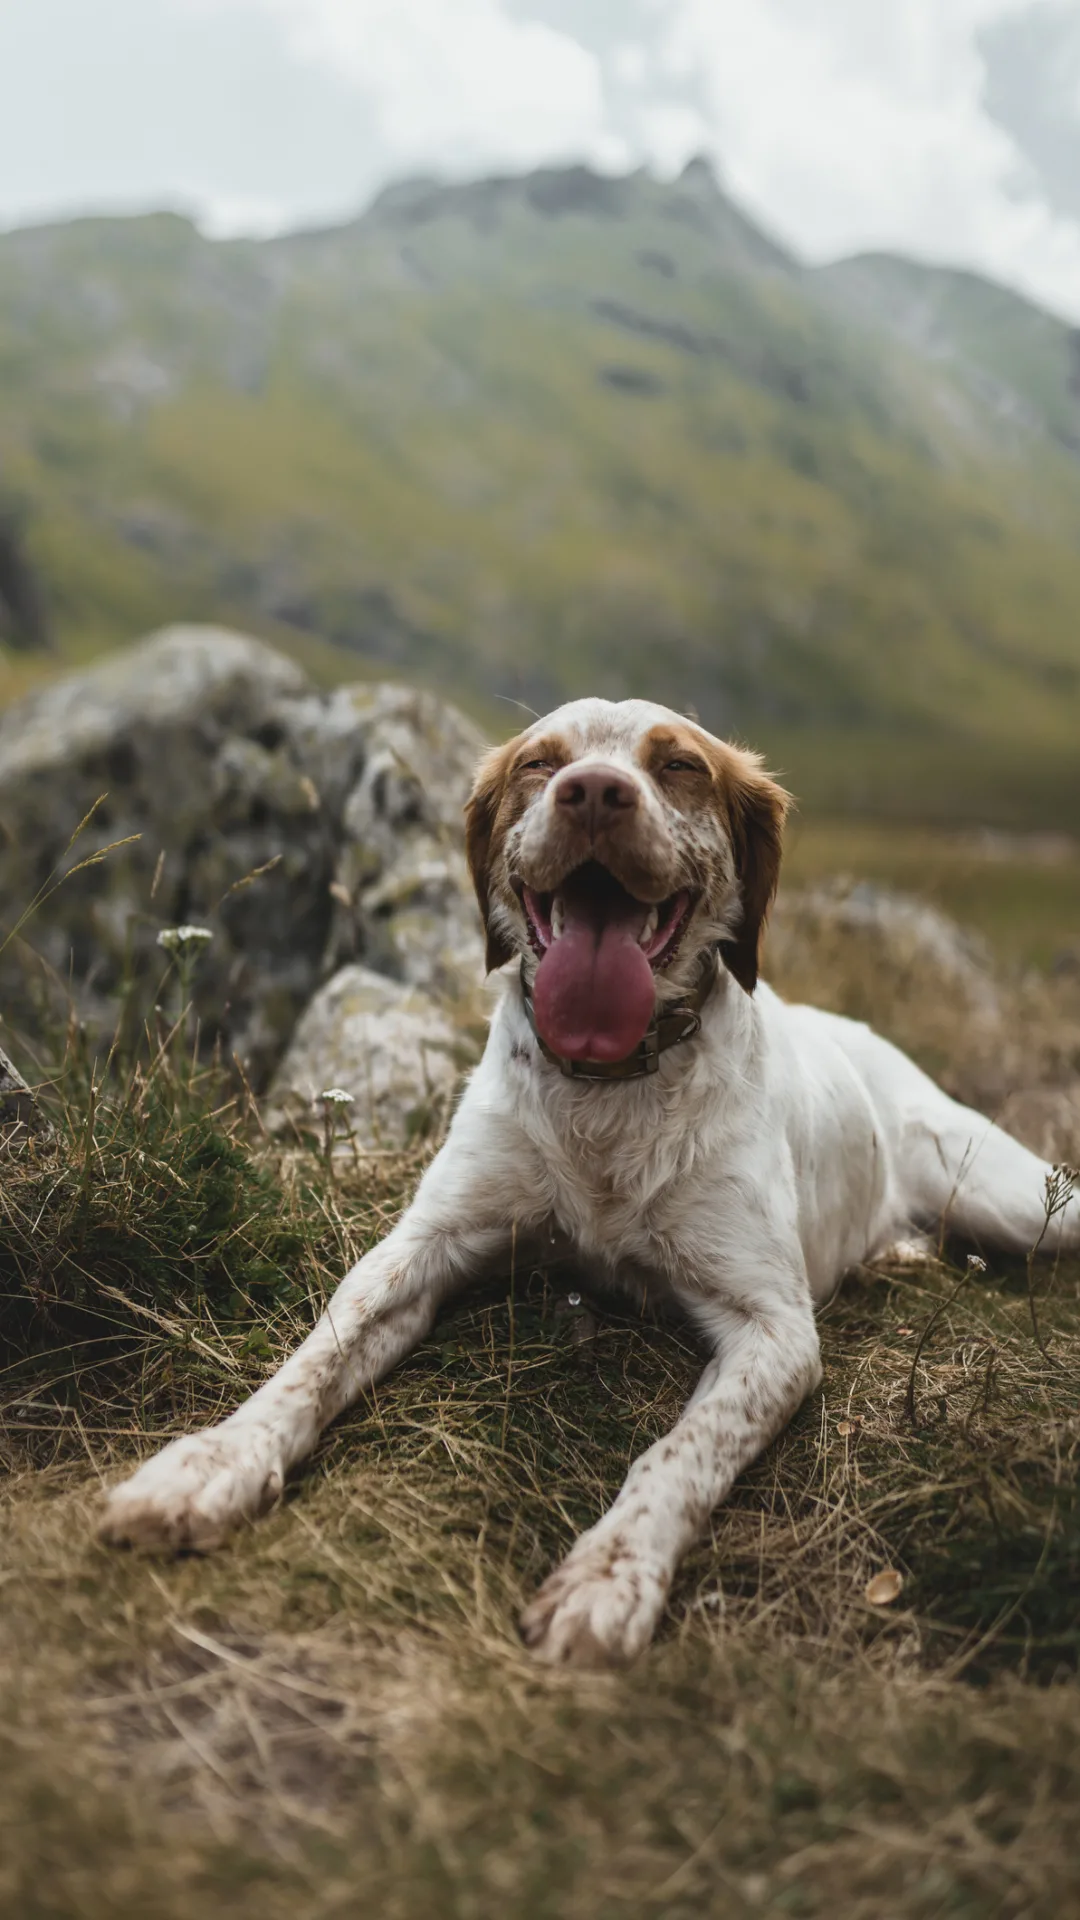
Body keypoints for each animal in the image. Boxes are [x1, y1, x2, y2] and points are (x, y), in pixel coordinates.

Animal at [96, 702, 1068, 1666]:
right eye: (539, 763)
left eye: (679, 766)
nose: (595, 792)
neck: (607, 1090)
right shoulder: (426, 1242)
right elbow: (315, 1357)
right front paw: (210, 1464)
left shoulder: (774, 1326)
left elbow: (680, 1454)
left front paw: (608, 1579)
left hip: (1014, 1197)